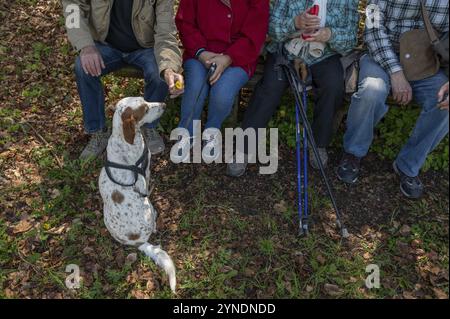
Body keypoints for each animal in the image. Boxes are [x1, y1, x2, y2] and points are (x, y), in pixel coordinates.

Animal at [99, 97, 176, 292]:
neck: (124, 140)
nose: (164, 105)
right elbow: (147, 184)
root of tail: (138, 242)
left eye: (145, 100)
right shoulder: (146, 170)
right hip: (148, 206)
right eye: (145, 109)